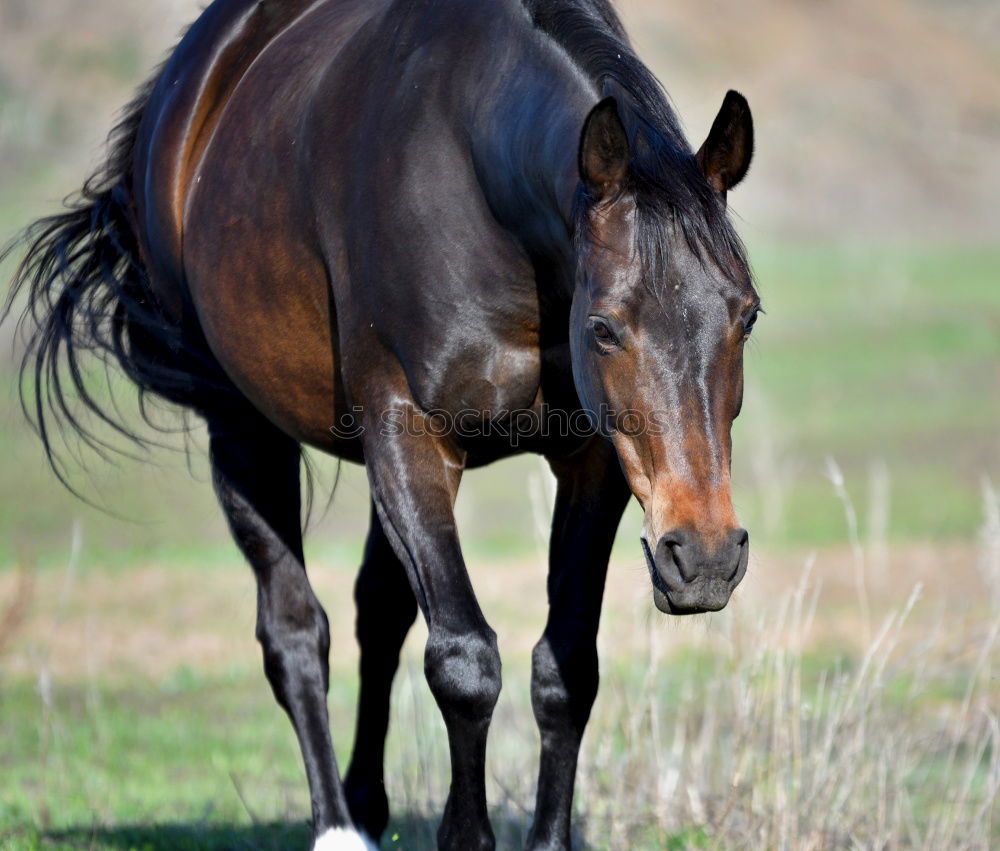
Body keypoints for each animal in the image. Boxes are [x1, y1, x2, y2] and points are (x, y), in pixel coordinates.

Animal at [5, 0, 756, 848]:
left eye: (747, 316)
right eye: (603, 328)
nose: (705, 556)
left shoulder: (592, 459)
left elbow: (565, 666)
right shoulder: (409, 432)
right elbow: (463, 662)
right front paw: (464, 835)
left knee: (380, 610)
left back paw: (365, 801)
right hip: (243, 430)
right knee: (295, 631)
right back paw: (337, 823)